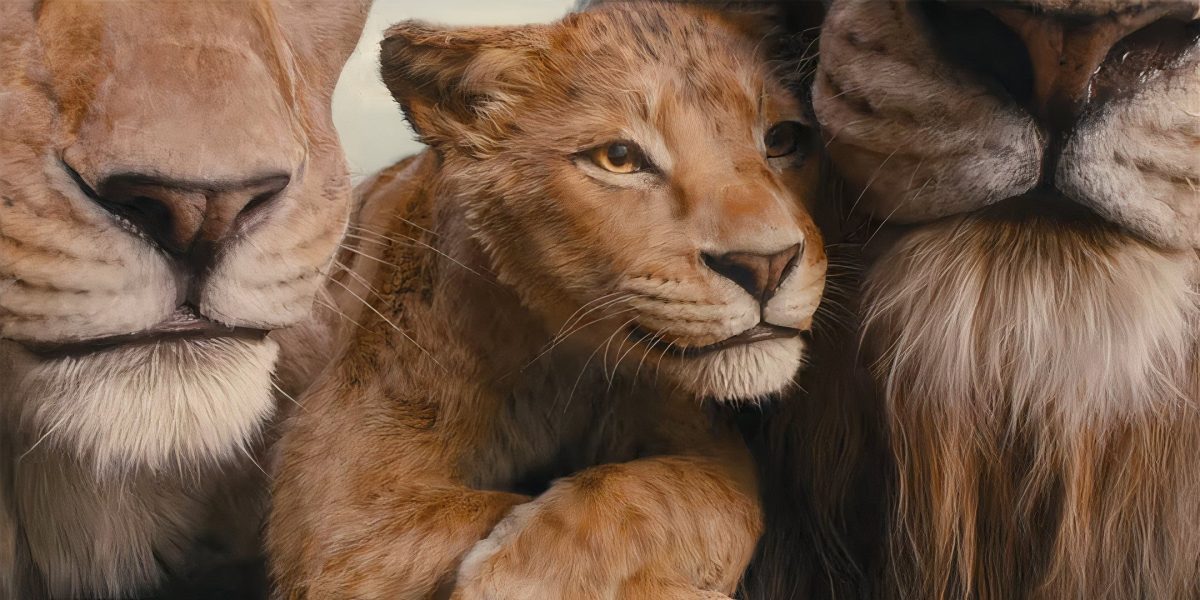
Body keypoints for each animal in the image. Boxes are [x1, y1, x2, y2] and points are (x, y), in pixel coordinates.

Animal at [266, 4, 827, 599]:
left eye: (783, 138)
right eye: (619, 158)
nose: (766, 266)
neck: (563, 364)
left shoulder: (709, 446)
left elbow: (690, 496)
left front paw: (529, 570)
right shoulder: (340, 510)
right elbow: (481, 508)